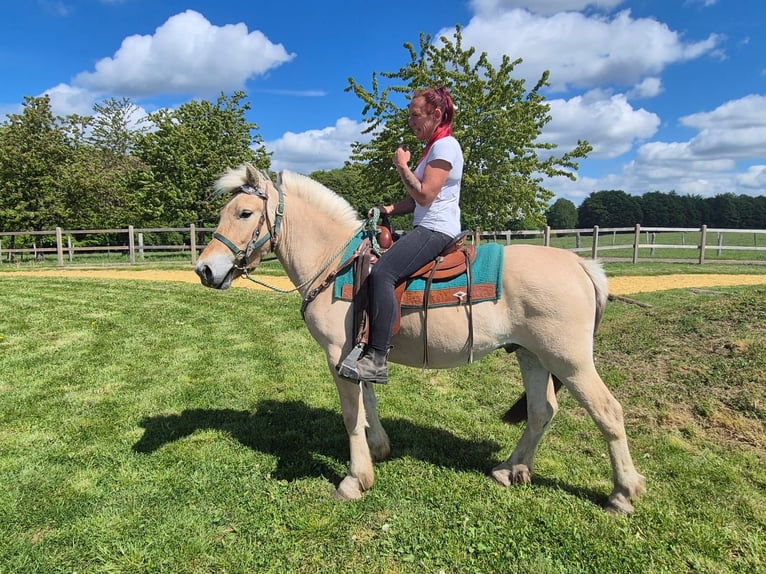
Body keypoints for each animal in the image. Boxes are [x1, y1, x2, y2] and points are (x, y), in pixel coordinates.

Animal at [195, 163, 646, 514]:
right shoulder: (361, 353)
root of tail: (583, 265)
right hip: (532, 356)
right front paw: (378, 450)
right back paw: (510, 469)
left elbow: (351, 416)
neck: (336, 264)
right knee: (541, 411)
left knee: (608, 413)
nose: (204, 270)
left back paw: (622, 494)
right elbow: (369, 404)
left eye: (245, 212)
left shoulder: (338, 356)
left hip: (569, 360)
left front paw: (355, 480)